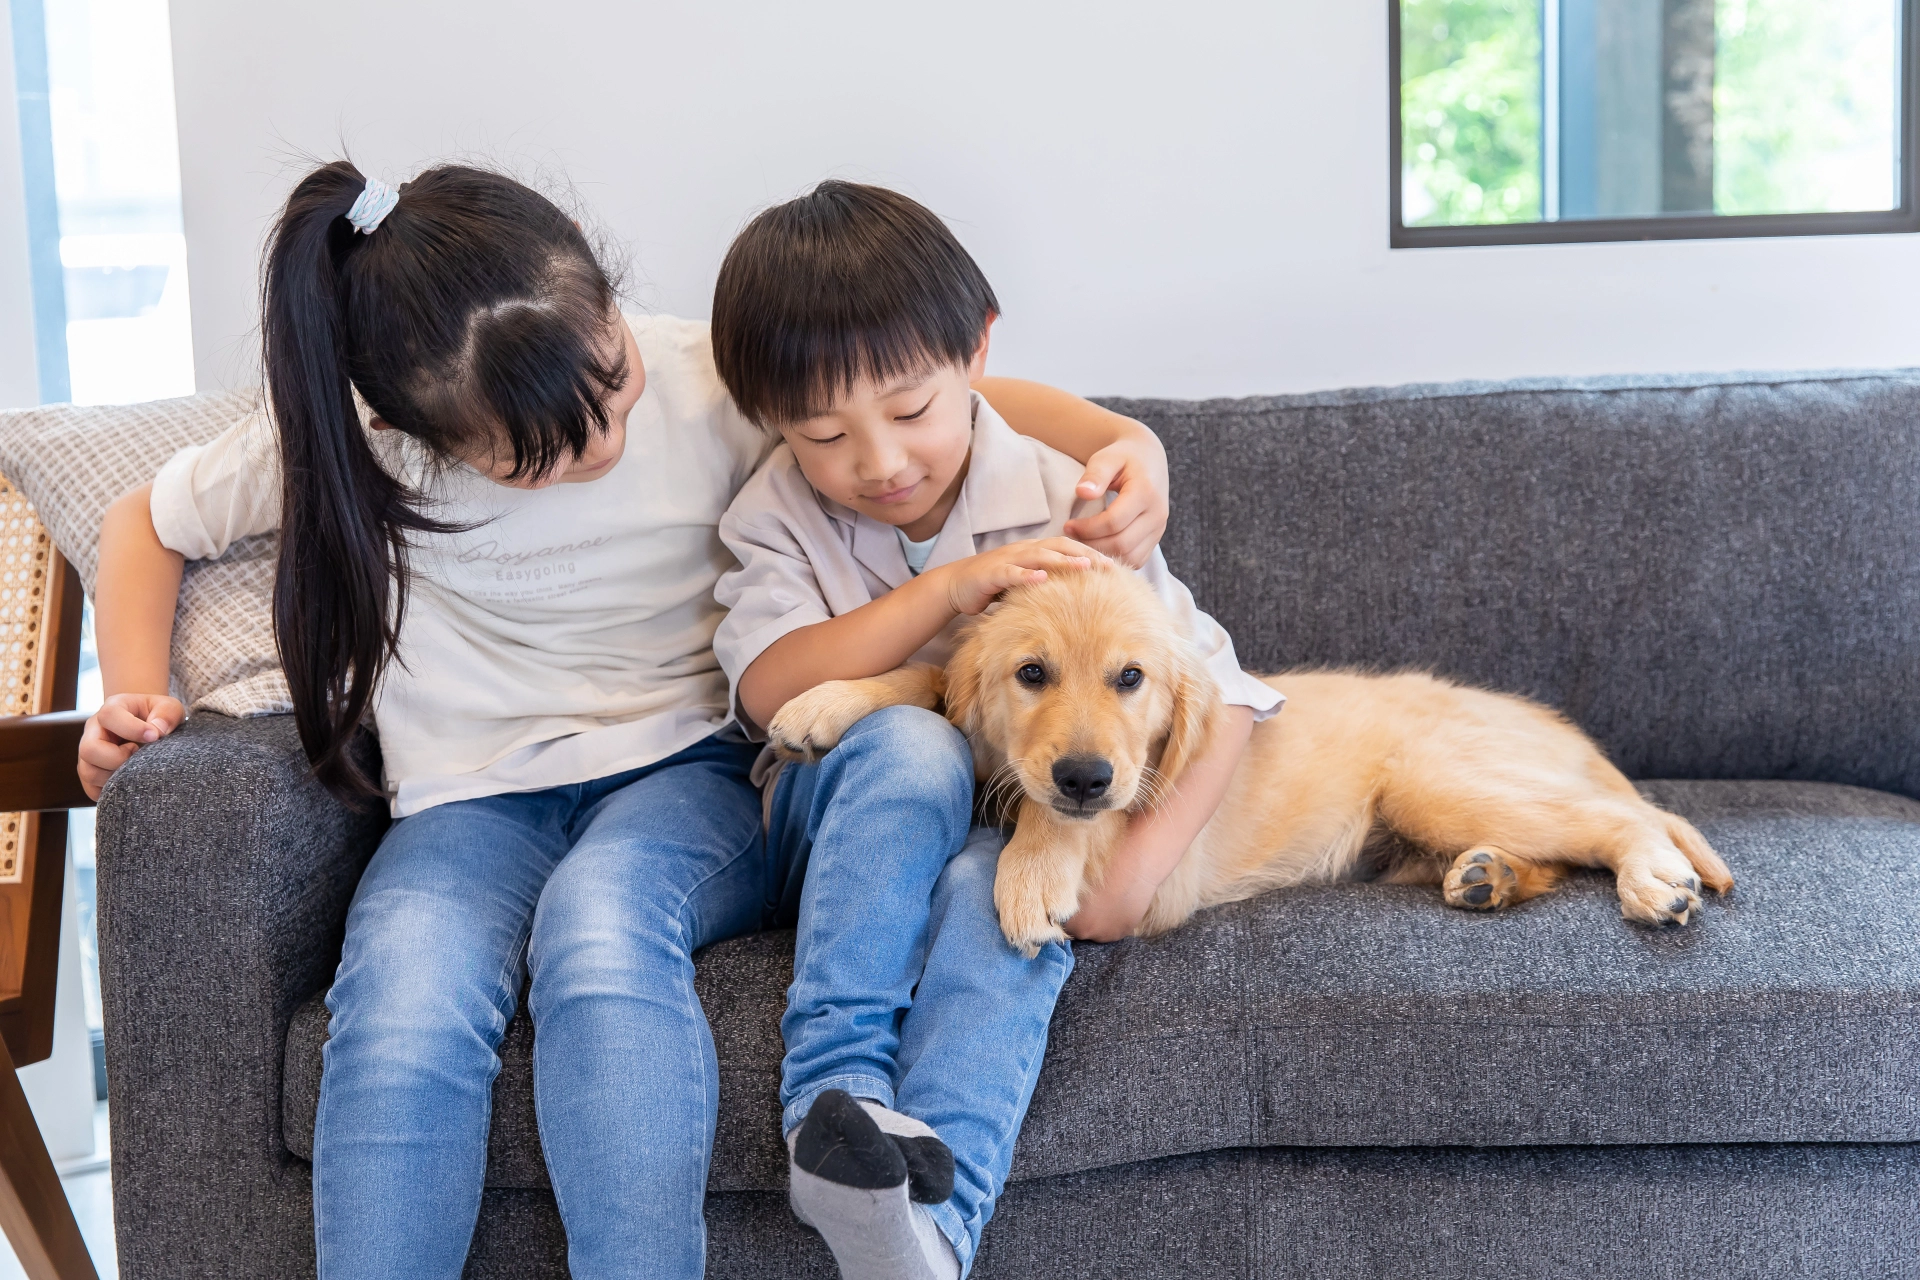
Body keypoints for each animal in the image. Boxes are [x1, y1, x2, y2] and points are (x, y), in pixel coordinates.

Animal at [768, 564, 1743, 955]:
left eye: (1131, 678)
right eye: (1031, 674)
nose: (1085, 775)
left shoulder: (1157, 861)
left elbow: (1070, 813)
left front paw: (1031, 870)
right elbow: (934, 672)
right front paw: (826, 702)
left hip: (1435, 781)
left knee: (1625, 818)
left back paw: (1652, 880)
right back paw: (1489, 878)